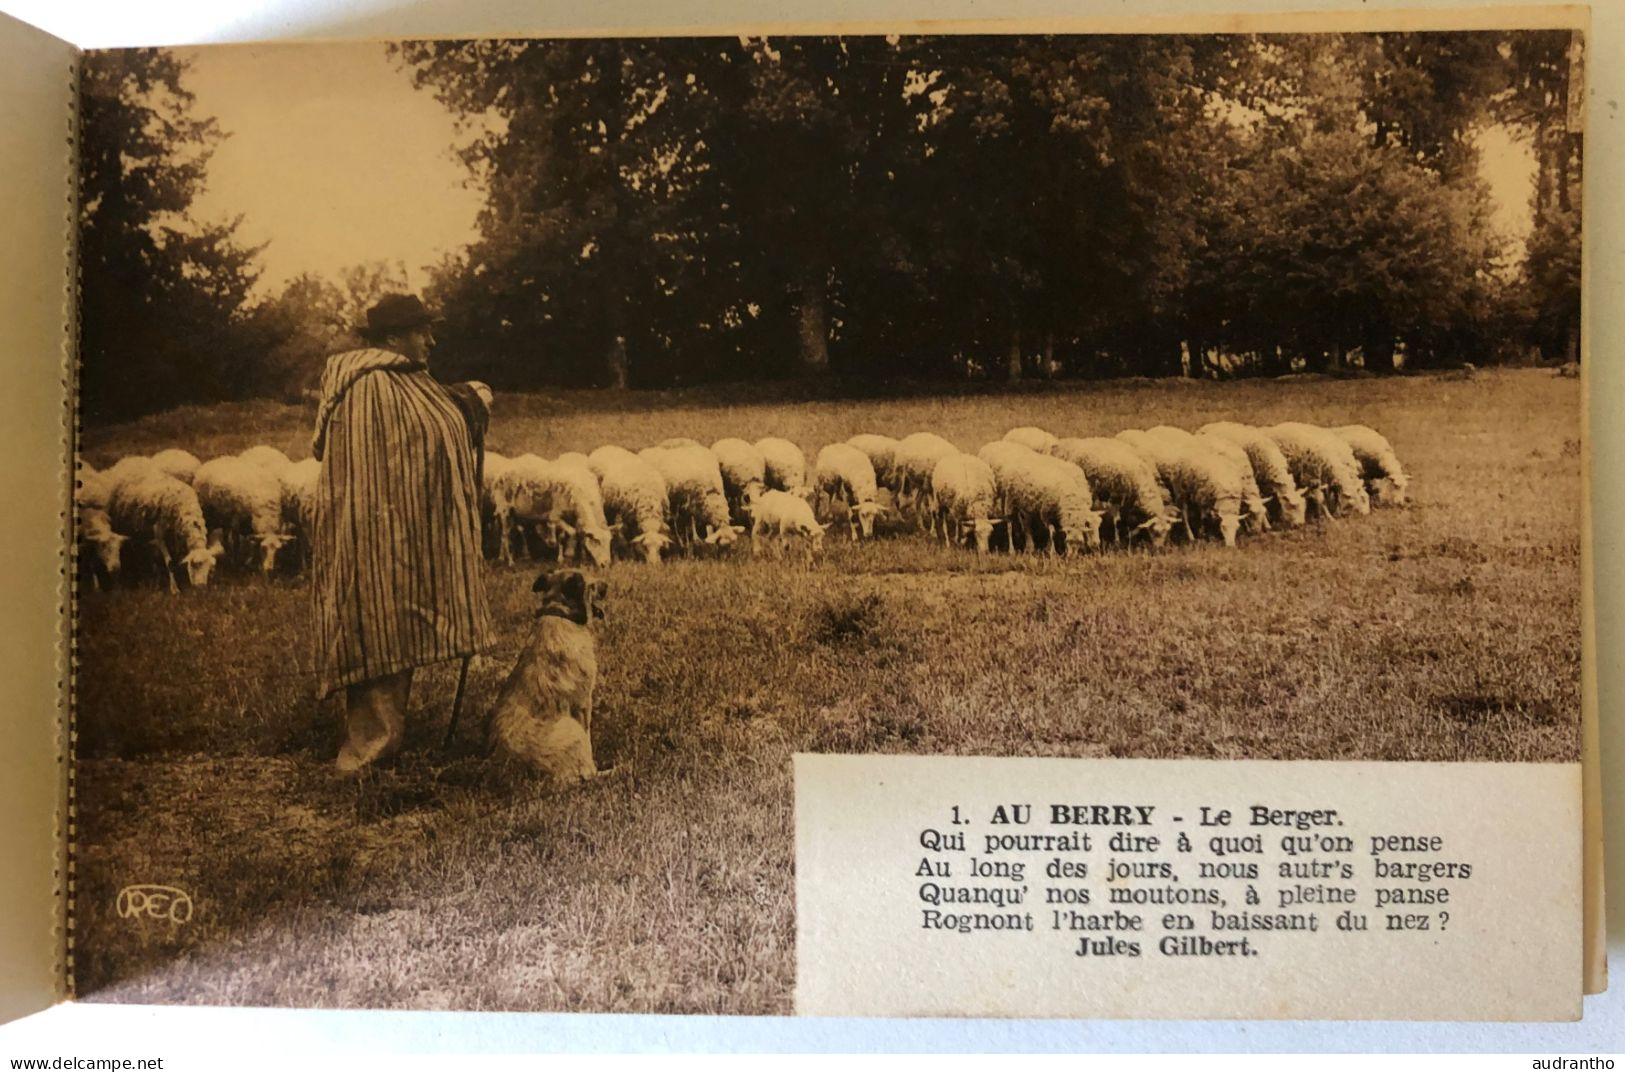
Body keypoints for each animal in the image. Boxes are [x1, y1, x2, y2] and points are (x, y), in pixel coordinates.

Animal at [487, 565, 611, 782]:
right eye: (592, 586)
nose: (606, 587)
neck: (560, 612)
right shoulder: (583, 703)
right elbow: (588, 744)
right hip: (571, 728)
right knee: (586, 775)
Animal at [1046, 435, 1176, 548]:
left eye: (1167, 533)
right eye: (1155, 532)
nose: (1160, 548)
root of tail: (1062, 444)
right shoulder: (1116, 496)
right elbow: (1117, 521)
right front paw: (1118, 541)